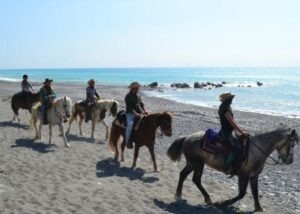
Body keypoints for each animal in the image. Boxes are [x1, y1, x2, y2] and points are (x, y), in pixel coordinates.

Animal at [168, 126, 298, 211]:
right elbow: (242, 194)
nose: (290, 161)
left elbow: (255, 192)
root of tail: (187, 138)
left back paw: (179, 194)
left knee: (183, 174)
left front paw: (259, 208)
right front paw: (222, 203)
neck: (255, 150)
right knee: (196, 179)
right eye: (292, 144)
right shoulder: (243, 176)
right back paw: (208, 198)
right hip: (198, 164)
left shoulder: (254, 176)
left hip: (192, 163)